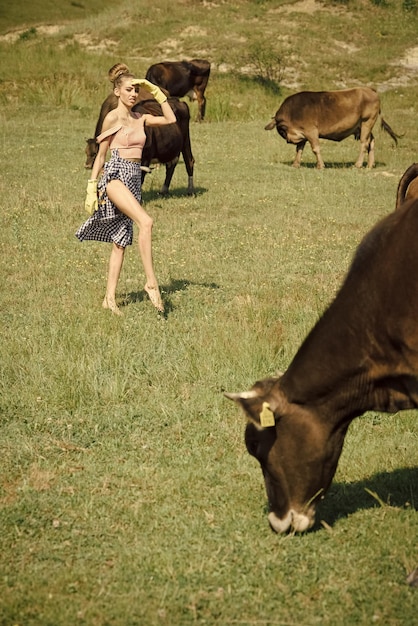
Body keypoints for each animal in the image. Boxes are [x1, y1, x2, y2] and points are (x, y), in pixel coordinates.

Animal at [262, 86, 400, 168]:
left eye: (281, 130)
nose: (288, 140)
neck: (293, 111)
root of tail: (370, 90)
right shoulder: (303, 134)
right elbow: (299, 149)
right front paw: (296, 164)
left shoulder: (311, 131)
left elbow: (315, 148)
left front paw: (320, 165)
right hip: (362, 127)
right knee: (371, 141)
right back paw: (370, 165)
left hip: (367, 122)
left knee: (364, 143)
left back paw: (358, 164)